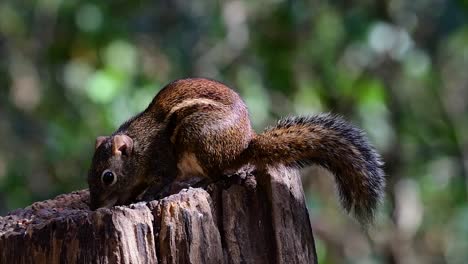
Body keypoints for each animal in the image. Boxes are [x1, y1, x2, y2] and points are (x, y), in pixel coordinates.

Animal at [88, 77, 384, 224]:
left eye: (107, 177)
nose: (93, 207)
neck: (140, 148)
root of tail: (243, 148)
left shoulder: (163, 161)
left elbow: (163, 180)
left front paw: (146, 196)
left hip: (199, 136)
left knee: (220, 175)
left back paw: (199, 181)